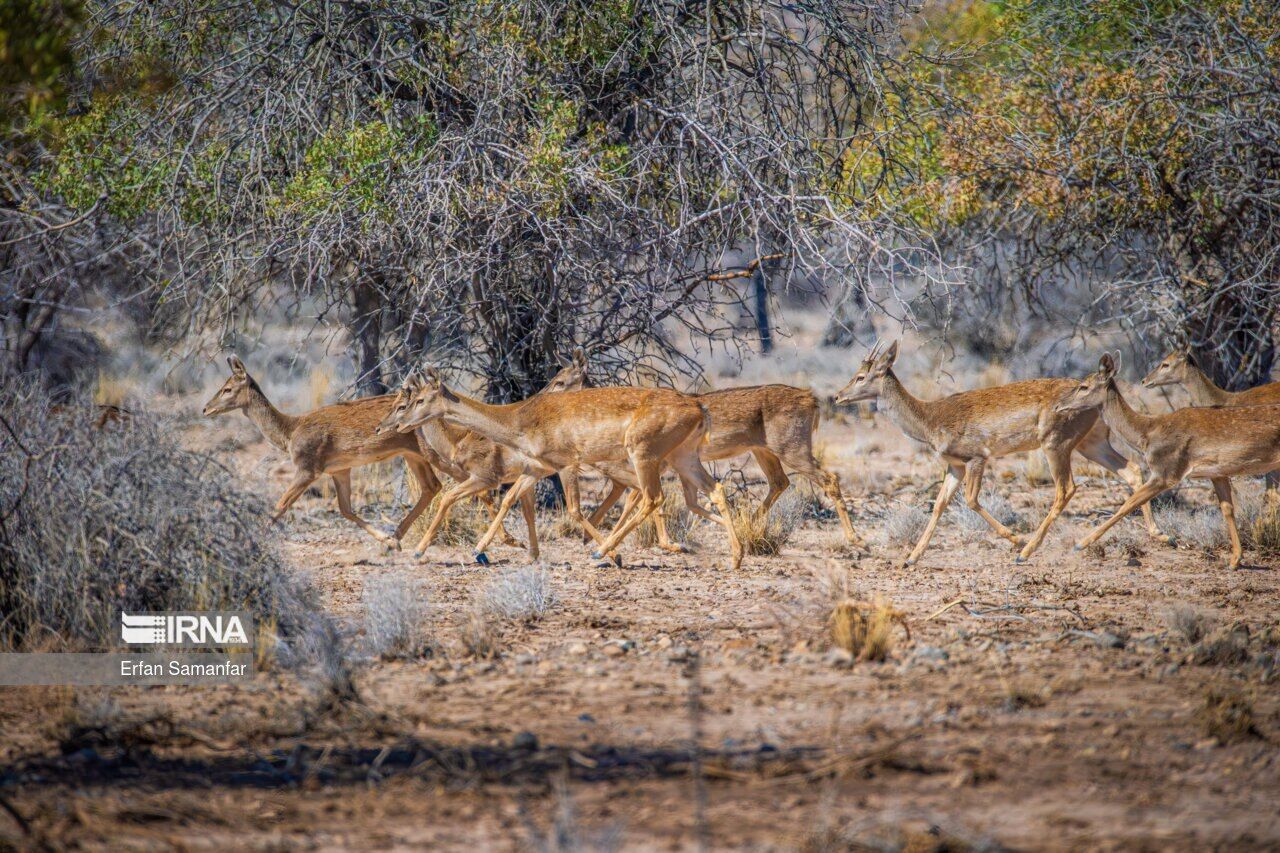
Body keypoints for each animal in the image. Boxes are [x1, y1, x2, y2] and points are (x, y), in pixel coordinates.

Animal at [198, 353, 440, 545]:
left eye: (227, 389)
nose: (206, 408)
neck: (289, 431)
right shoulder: (339, 469)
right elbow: (346, 509)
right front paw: (388, 541)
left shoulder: (308, 468)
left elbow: (280, 505)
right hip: (411, 454)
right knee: (432, 486)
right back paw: (399, 538)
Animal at [394, 368, 747, 568]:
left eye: (419, 399)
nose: (399, 424)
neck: (520, 419)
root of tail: (698, 405)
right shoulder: (536, 469)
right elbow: (511, 501)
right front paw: (482, 550)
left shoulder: (565, 466)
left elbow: (574, 510)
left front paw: (419, 552)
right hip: (683, 458)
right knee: (713, 490)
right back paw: (735, 557)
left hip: (644, 456)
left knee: (652, 498)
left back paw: (602, 553)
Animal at [834, 338, 1167, 563]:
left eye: (861, 376)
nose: (837, 396)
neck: (930, 420)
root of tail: (1098, 406)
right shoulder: (954, 465)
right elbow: (939, 504)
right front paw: (911, 558)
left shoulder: (977, 457)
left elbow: (970, 500)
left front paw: (1015, 539)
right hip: (1091, 442)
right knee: (1132, 470)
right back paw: (1160, 534)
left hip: (1055, 443)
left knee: (1067, 488)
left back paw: (1027, 551)